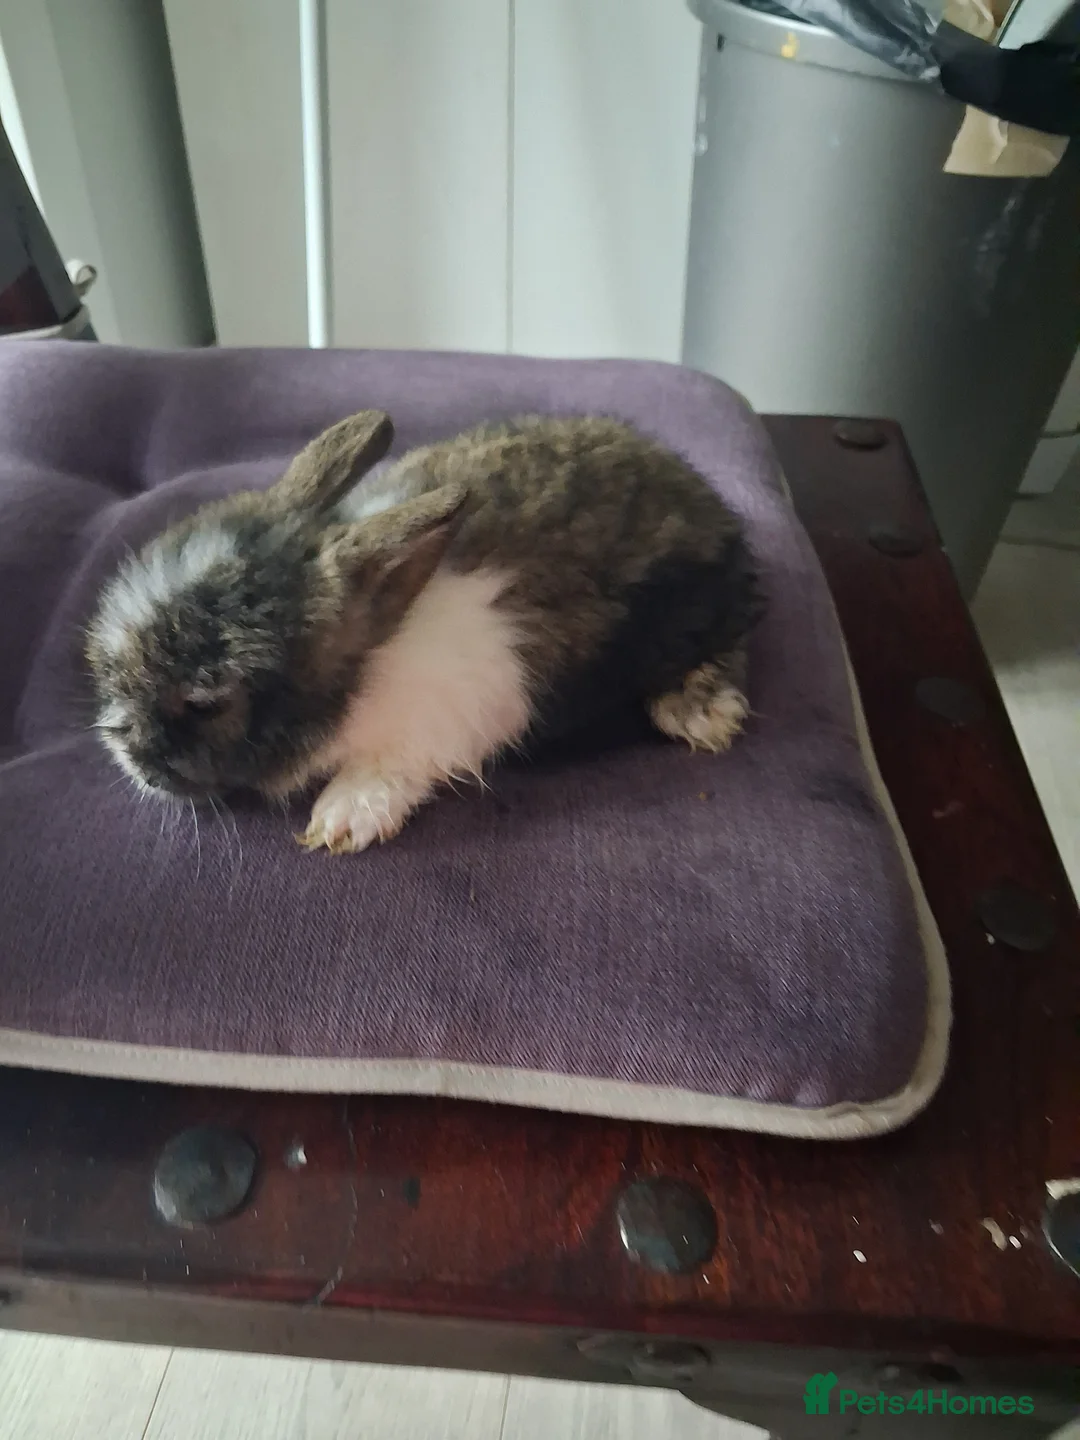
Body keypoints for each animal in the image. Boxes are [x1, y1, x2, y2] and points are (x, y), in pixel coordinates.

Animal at [86, 408, 763, 853]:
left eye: (207, 701)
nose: (123, 748)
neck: (372, 656)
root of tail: (711, 505)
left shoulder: (457, 716)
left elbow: (397, 762)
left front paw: (342, 818)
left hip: (691, 613)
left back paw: (701, 713)